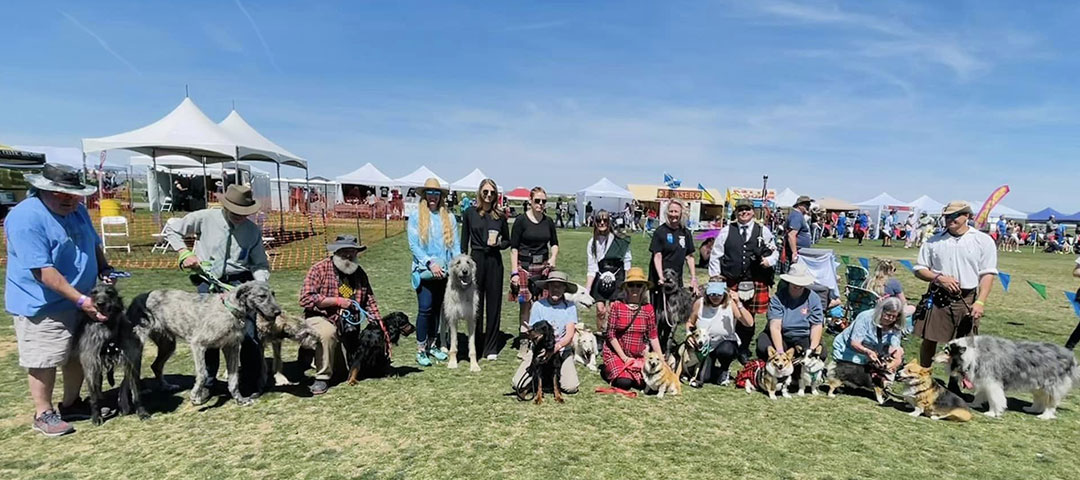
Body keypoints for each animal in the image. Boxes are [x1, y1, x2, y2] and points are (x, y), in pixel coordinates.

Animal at [77, 283, 150, 425]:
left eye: (109, 292)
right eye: (94, 293)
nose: (100, 303)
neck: (108, 328)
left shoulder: (132, 358)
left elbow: (136, 390)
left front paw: (141, 412)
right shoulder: (90, 362)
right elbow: (93, 394)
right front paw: (96, 416)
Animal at [127, 278, 282, 406]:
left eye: (273, 294)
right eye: (262, 296)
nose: (278, 312)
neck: (230, 309)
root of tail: (137, 298)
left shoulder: (231, 347)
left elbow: (233, 379)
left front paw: (240, 399)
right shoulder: (198, 345)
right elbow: (203, 374)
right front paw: (195, 396)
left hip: (168, 345)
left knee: (156, 366)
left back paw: (166, 386)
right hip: (138, 346)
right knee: (133, 372)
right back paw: (138, 394)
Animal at [933, 332, 1075, 419]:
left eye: (946, 352)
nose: (932, 358)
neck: (972, 355)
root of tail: (1070, 356)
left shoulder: (992, 383)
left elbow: (995, 399)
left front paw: (993, 413)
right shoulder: (984, 380)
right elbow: (979, 395)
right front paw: (974, 404)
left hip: (1051, 387)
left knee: (1051, 403)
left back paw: (1045, 416)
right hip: (1038, 386)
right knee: (1040, 399)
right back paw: (1032, 409)